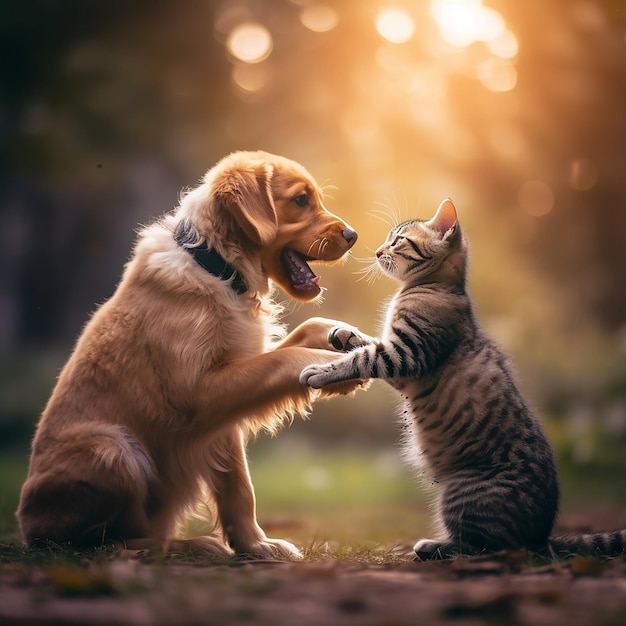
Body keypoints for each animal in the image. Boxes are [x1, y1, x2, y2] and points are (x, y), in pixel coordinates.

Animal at [17, 150, 360, 556]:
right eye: (301, 200)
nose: (354, 236)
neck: (217, 267)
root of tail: (27, 531)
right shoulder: (197, 390)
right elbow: (282, 358)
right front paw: (332, 365)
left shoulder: (229, 396)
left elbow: (239, 486)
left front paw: (256, 545)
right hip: (112, 448)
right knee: (105, 541)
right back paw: (190, 545)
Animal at [300, 199, 620, 556]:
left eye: (398, 240)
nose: (377, 250)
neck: (437, 287)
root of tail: (541, 536)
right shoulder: (397, 360)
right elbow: (365, 343)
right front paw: (342, 334)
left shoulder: (404, 356)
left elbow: (362, 357)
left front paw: (319, 372)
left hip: (461, 495)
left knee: (484, 546)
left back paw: (431, 546)